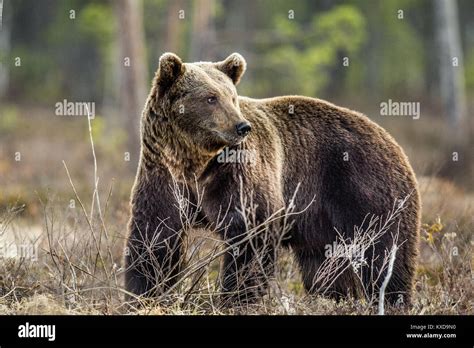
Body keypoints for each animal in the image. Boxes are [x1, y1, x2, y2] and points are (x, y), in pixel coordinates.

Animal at [124, 53, 420, 306]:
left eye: (232, 97)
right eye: (210, 97)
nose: (241, 126)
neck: (193, 162)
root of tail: (393, 141)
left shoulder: (237, 175)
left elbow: (251, 234)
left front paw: (236, 298)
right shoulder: (162, 175)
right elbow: (154, 238)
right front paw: (142, 295)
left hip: (366, 191)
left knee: (384, 255)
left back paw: (390, 299)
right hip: (323, 224)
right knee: (325, 268)